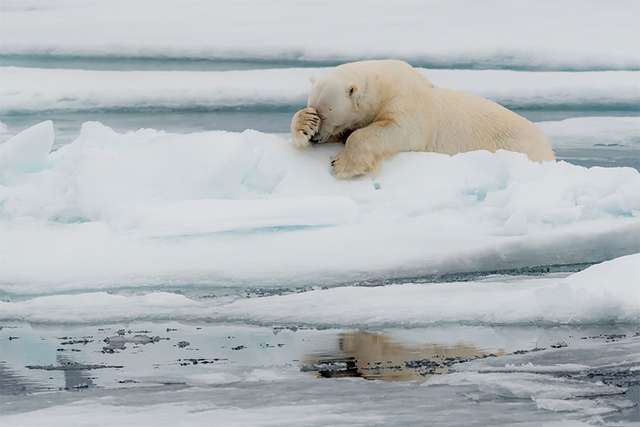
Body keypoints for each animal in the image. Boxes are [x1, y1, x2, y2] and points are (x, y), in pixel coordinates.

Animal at [292, 59, 556, 178]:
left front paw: (342, 164)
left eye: (327, 112)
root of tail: (549, 149)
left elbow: (394, 130)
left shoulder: (408, 104)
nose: (316, 139)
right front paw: (304, 125)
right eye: (314, 107)